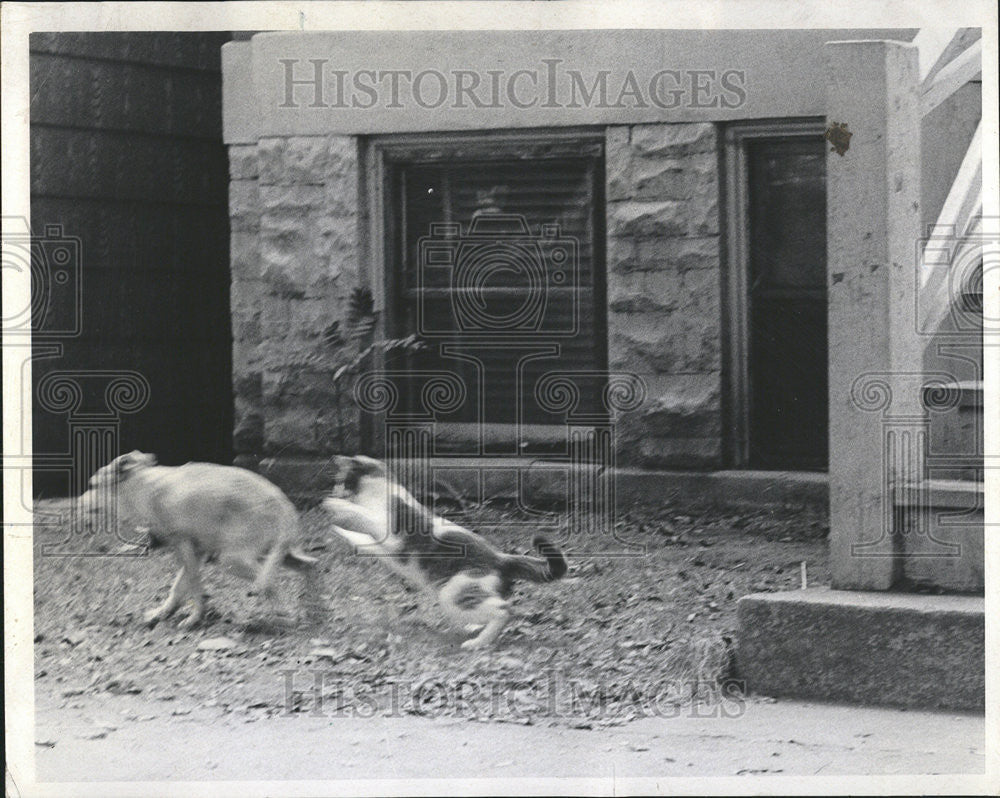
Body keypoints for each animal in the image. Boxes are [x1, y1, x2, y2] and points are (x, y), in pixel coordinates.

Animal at [80, 450, 318, 632]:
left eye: (92, 486)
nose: (78, 504)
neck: (144, 489)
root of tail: (285, 506)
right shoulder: (197, 551)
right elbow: (178, 587)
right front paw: (162, 613)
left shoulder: (185, 547)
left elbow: (192, 587)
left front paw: (194, 619)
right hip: (280, 555)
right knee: (310, 566)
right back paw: (315, 613)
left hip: (232, 560)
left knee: (270, 586)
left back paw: (283, 619)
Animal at [322, 456, 568, 648]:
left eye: (340, 481)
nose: (334, 490)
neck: (377, 494)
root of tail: (501, 559)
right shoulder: (376, 543)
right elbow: (359, 538)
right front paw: (338, 528)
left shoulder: (392, 536)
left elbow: (363, 516)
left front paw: (336, 506)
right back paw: (476, 628)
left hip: (453, 592)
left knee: (504, 610)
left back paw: (479, 642)